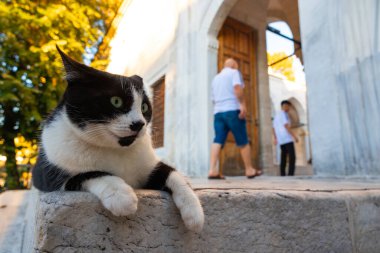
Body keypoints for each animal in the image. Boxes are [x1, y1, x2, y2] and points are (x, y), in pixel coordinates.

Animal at [32, 46, 205, 232]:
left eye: (144, 107)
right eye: (116, 101)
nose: (139, 124)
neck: (116, 150)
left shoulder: (148, 166)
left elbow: (172, 173)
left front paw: (194, 212)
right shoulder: (47, 173)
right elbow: (87, 174)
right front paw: (121, 195)